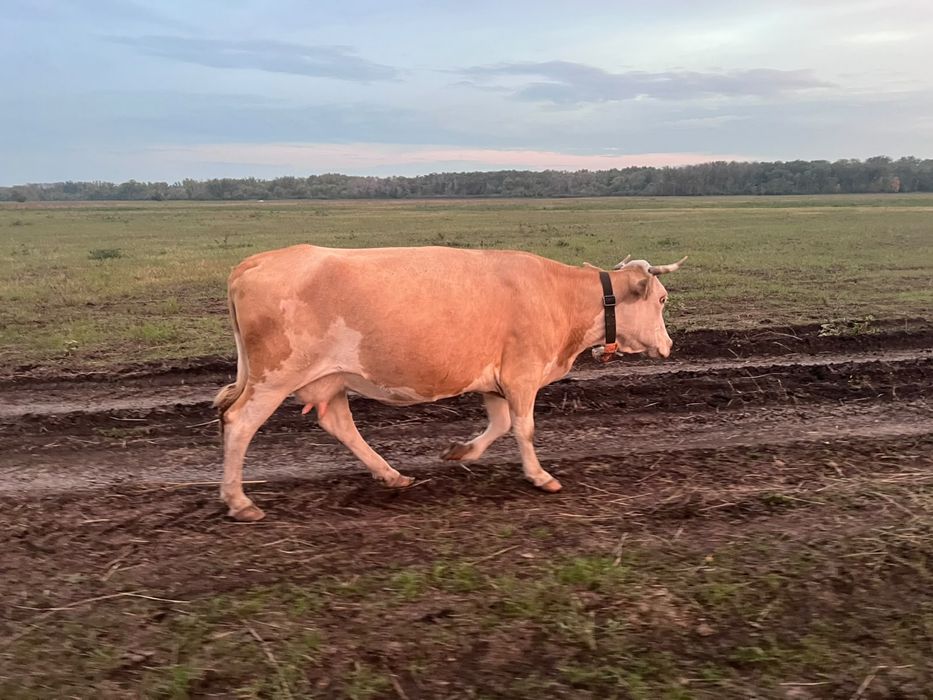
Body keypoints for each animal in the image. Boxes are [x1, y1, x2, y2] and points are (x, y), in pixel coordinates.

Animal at [214, 244, 686, 521]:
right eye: (662, 299)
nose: (669, 345)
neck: (562, 296)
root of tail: (254, 261)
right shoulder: (522, 373)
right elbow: (524, 428)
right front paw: (539, 476)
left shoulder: (494, 379)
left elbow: (500, 424)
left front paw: (462, 451)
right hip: (274, 376)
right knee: (239, 423)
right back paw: (240, 501)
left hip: (329, 378)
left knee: (339, 424)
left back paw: (391, 475)